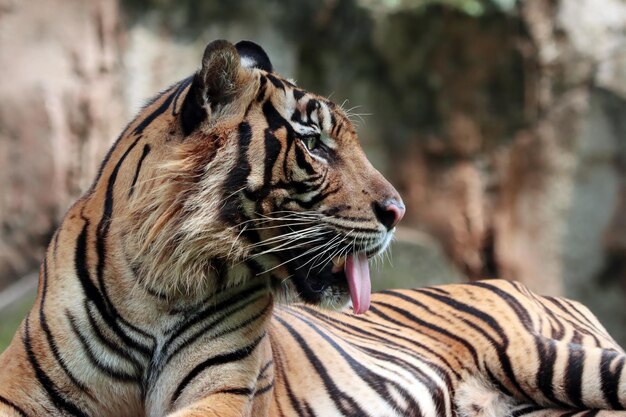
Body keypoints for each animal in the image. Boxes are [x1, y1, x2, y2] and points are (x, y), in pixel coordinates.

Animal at [1, 39, 624, 416]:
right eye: (316, 144)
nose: (399, 211)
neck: (158, 285)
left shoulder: (223, 389)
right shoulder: (23, 390)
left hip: (548, 357)